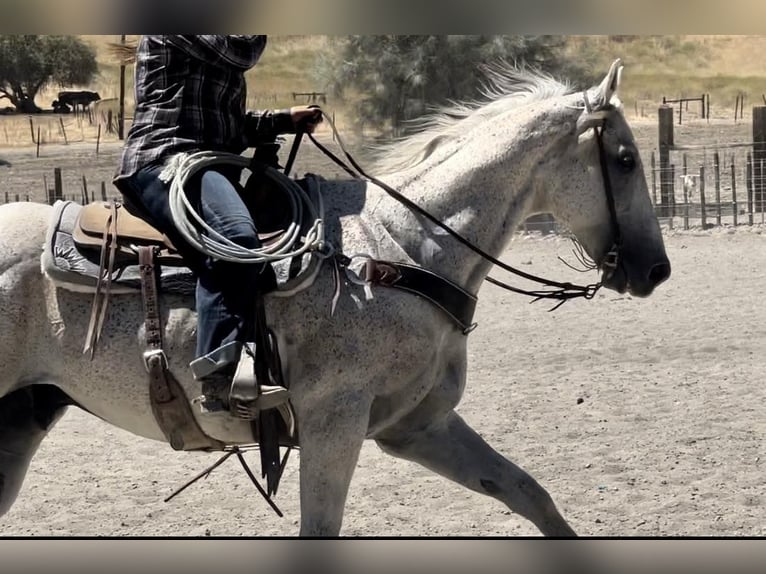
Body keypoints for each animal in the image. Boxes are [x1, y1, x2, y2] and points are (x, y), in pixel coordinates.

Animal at [0, 60, 668, 536]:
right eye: (625, 159)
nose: (656, 270)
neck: (399, 250)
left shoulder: (416, 425)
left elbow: (531, 495)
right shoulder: (334, 424)